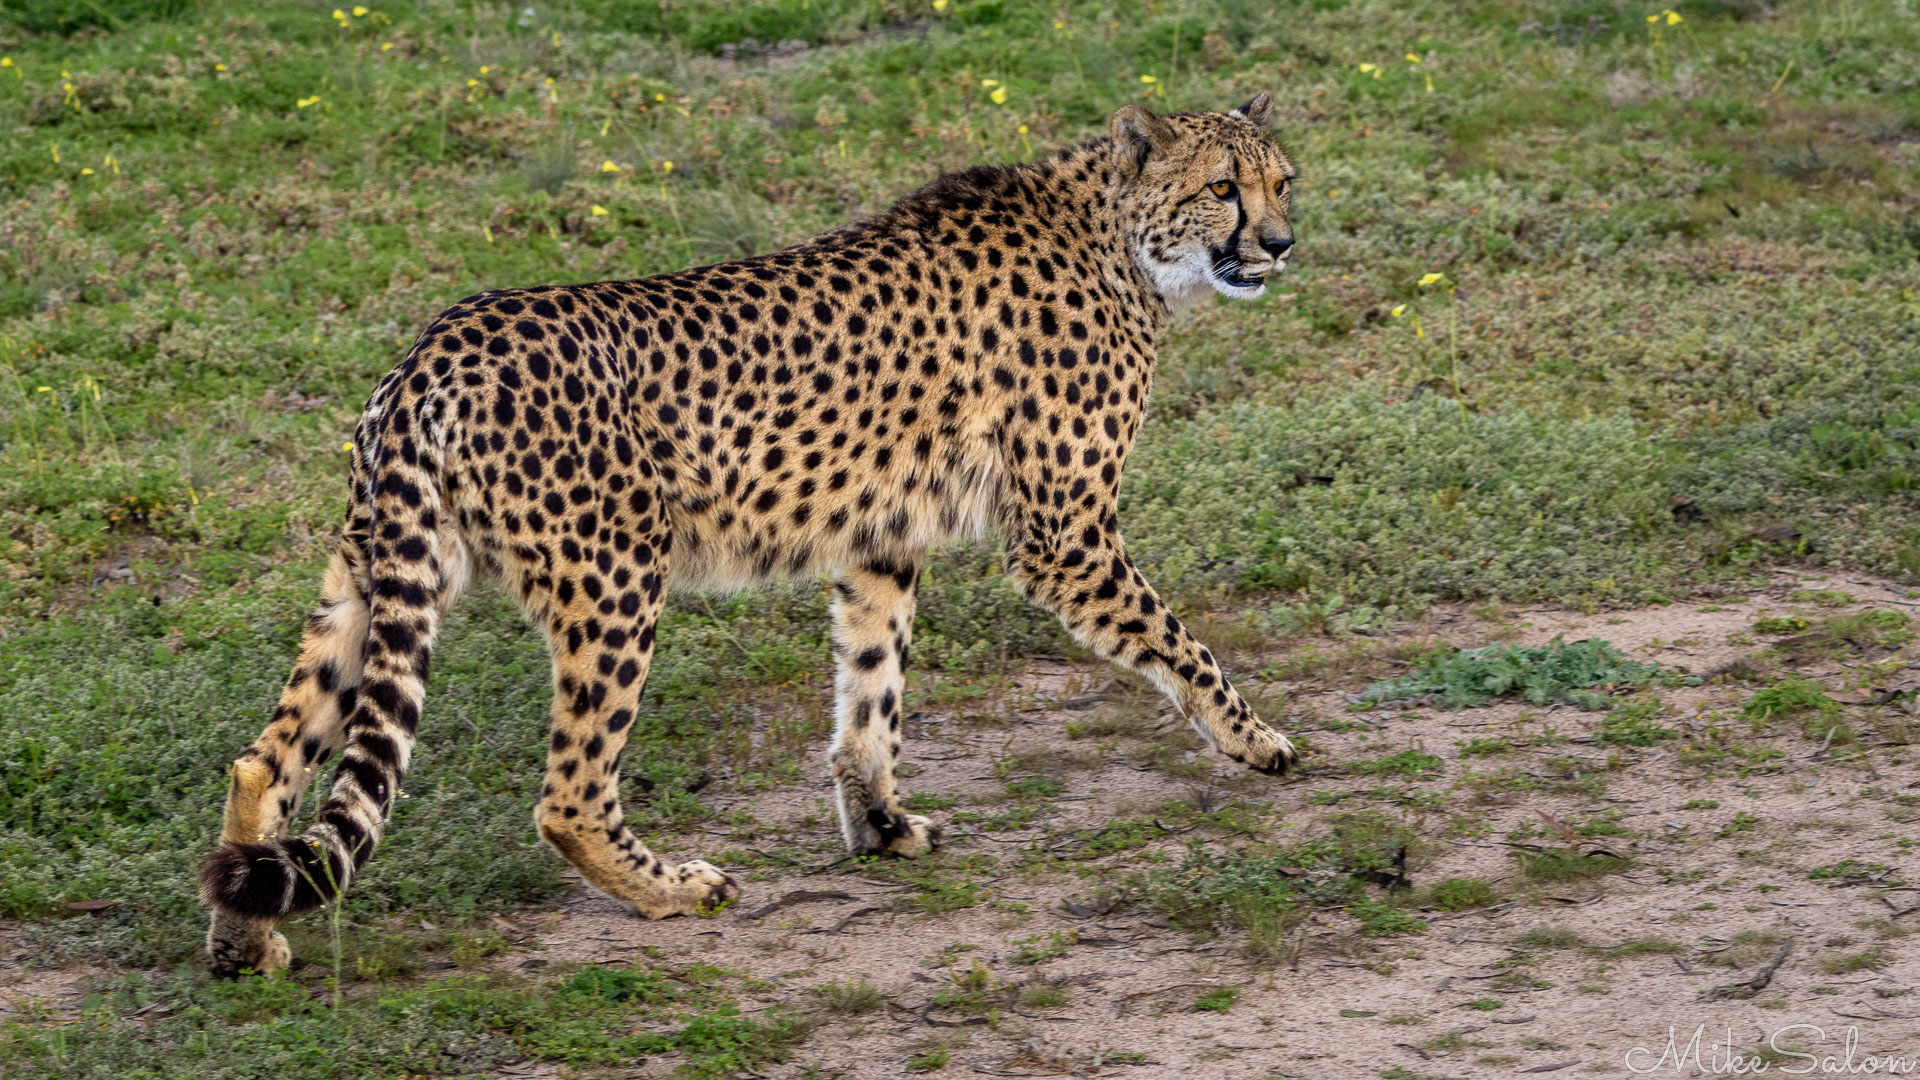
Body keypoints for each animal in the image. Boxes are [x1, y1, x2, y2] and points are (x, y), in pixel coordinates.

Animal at [199, 93, 1300, 976]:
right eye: (1223, 187)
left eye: (1282, 181)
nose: (1282, 242)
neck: (1119, 236)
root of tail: (440, 343)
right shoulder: (1064, 535)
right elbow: (1180, 642)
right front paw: (1256, 740)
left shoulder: (879, 538)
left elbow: (871, 692)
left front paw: (880, 824)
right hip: (615, 580)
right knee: (569, 794)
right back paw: (676, 889)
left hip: (378, 573)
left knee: (264, 760)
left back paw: (245, 939)